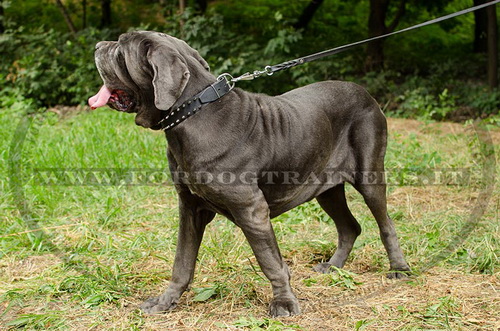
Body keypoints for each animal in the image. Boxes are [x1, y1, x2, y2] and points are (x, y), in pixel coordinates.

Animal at [90, 31, 410, 320]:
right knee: (349, 227)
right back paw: (331, 266)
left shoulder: (251, 209)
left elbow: (271, 261)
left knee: (385, 224)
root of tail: (365, 92)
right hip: (326, 189)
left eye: (120, 50)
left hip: (369, 175)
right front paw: (164, 302)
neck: (193, 112)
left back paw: (399, 269)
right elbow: (182, 261)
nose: (97, 45)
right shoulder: (190, 207)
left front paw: (284, 304)